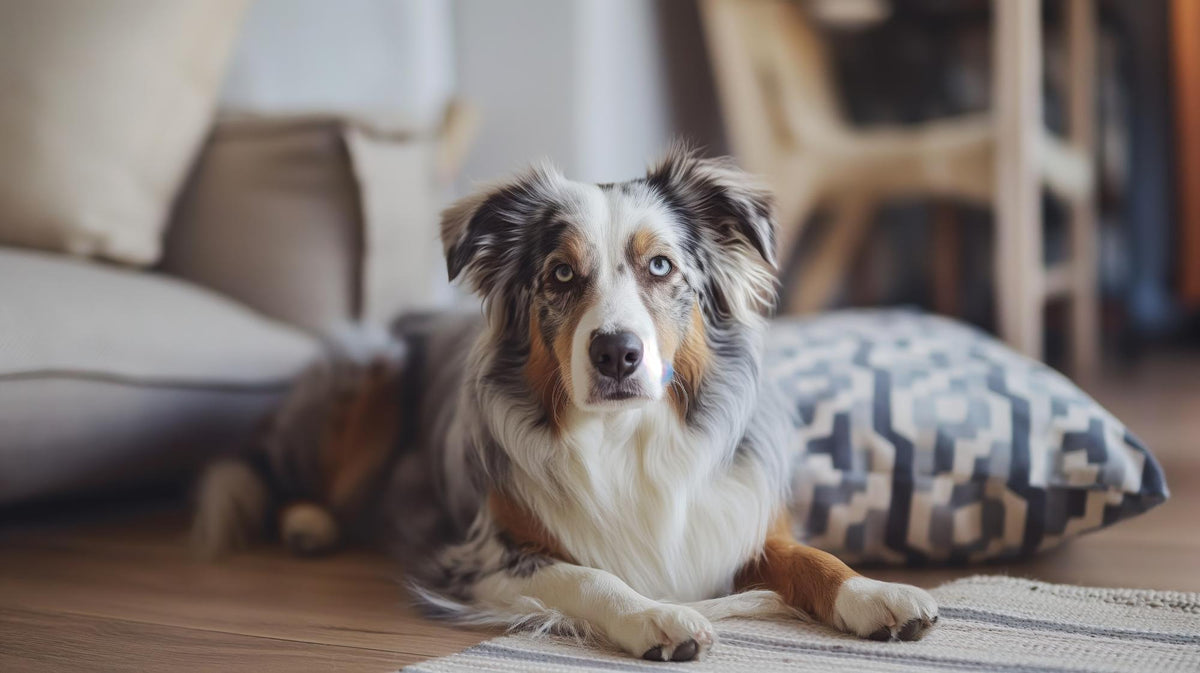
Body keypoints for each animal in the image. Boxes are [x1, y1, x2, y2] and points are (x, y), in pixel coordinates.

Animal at [194, 148, 936, 662]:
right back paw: (309, 522)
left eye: (660, 266)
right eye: (560, 274)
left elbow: (812, 557)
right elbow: (588, 575)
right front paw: (656, 616)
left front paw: (875, 593)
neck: (626, 437)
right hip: (373, 378)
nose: (616, 353)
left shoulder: (742, 523)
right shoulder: (487, 554)